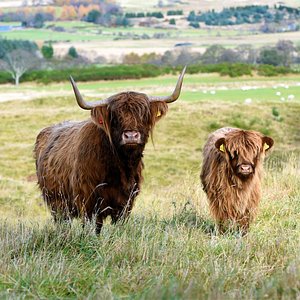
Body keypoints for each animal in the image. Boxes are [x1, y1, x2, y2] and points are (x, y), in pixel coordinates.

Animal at [34, 67, 185, 233]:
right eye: (115, 116)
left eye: (143, 114)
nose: (131, 136)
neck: (121, 167)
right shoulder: (88, 204)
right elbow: (94, 229)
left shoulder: (125, 204)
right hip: (57, 204)